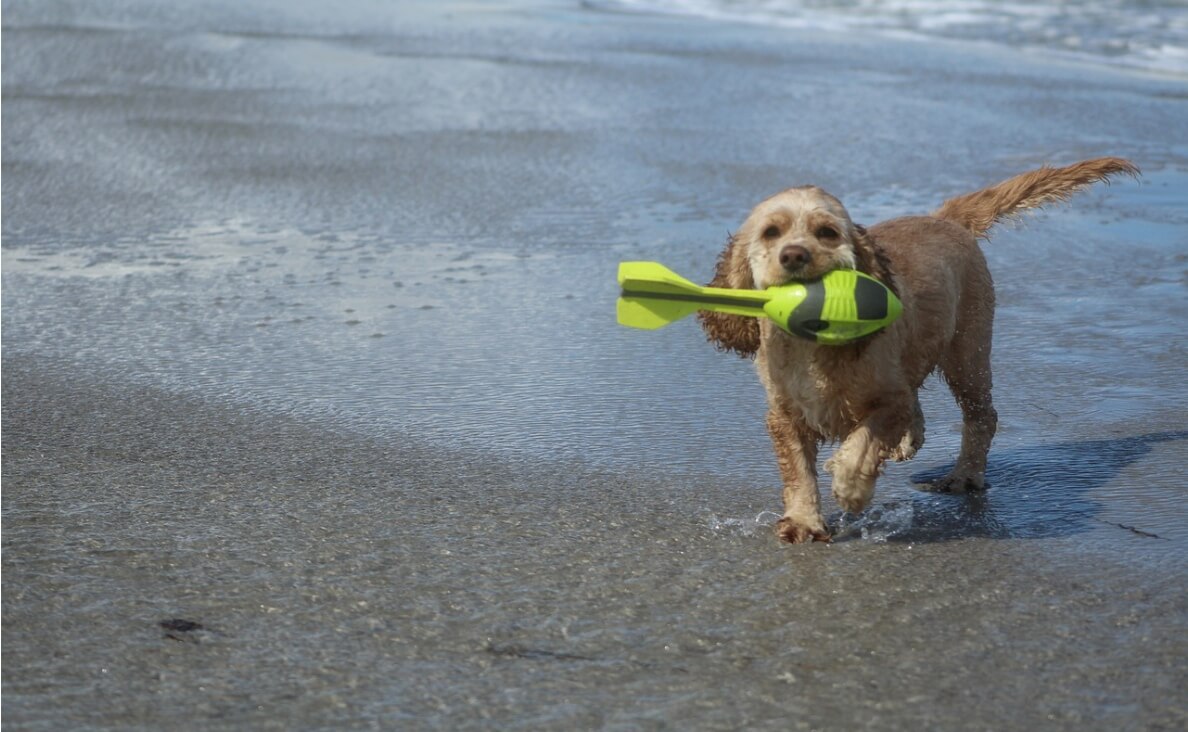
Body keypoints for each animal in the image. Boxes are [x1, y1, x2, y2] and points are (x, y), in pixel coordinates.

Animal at [698, 155, 1135, 544]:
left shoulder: (890, 401)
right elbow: (799, 472)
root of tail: (944, 217)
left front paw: (850, 485)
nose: (793, 255)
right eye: (772, 232)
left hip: (968, 354)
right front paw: (804, 521)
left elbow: (864, 441)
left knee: (982, 417)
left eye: (827, 232)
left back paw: (963, 476)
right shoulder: (785, 415)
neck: (814, 344)